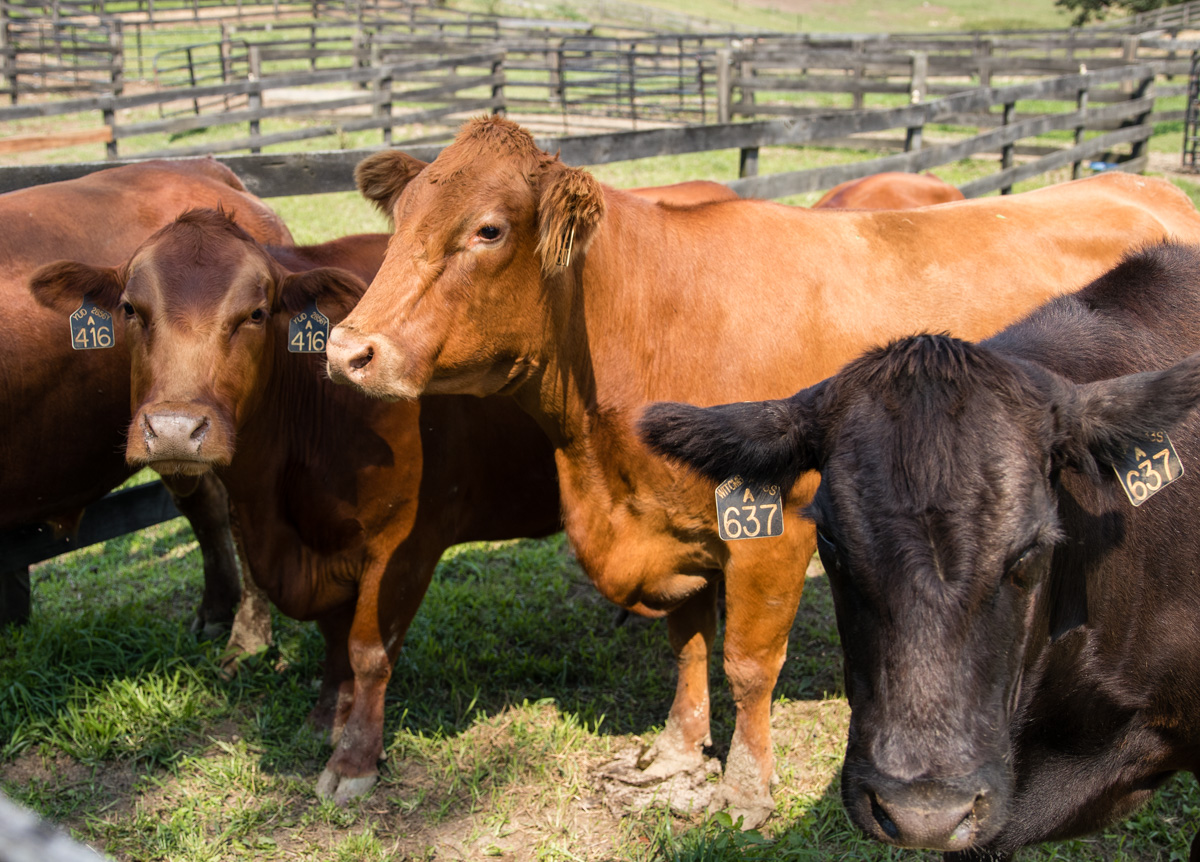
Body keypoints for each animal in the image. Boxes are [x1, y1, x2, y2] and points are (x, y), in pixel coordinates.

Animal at [28, 212, 561, 806]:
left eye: (256, 314)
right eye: (129, 309)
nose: (173, 430)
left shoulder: (405, 542)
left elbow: (369, 652)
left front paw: (354, 759)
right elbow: (334, 639)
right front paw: (327, 717)